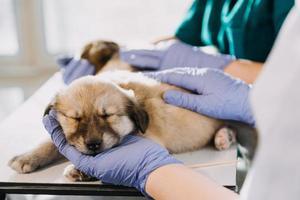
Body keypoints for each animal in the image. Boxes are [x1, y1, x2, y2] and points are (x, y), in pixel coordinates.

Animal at [8, 40, 246, 181]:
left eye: (107, 116)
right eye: (76, 119)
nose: (93, 144)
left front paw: (81, 169)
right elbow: (50, 143)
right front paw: (27, 157)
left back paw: (223, 137)